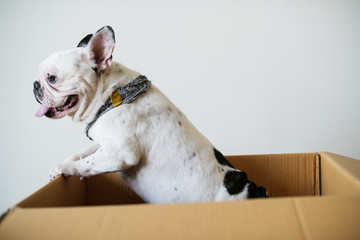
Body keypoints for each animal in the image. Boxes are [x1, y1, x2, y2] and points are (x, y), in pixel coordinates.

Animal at [32, 26, 266, 202]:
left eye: (51, 77)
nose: (35, 84)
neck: (115, 95)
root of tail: (255, 191)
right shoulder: (104, 143)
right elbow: (83, 152)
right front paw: (63, 162)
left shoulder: (120, 152)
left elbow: (87, 163)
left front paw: (65, 167)